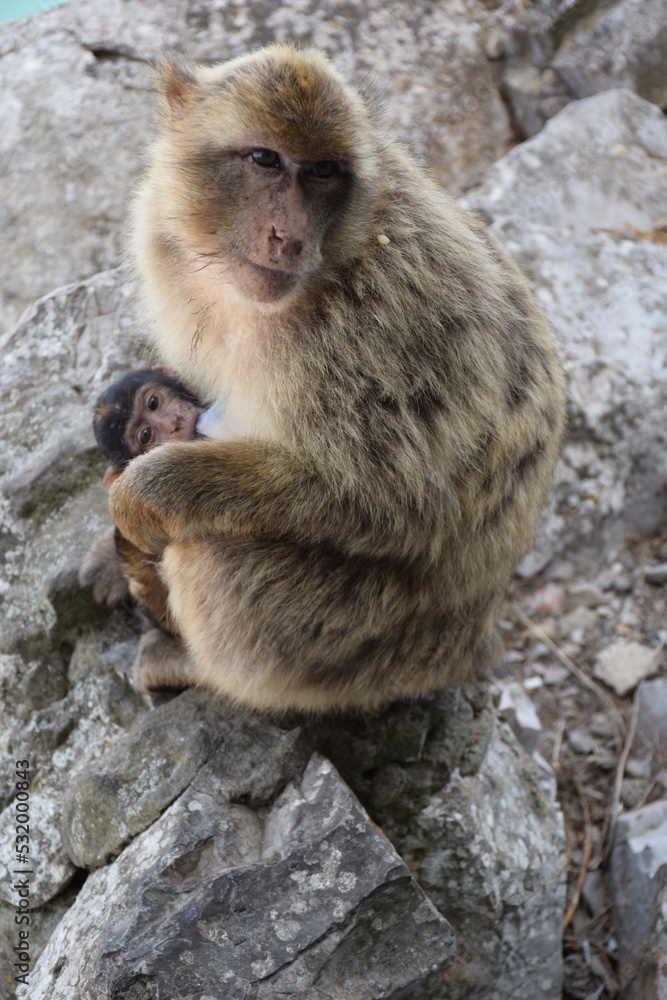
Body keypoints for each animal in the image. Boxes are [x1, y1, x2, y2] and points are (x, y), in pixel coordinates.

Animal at [82, 41, 564, 712]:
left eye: (324, 173)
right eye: (265, 159)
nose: (289, 236)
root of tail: (472, 641)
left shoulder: (383, 322)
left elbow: (383, 504)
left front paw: (142, 496)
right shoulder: (169, 244)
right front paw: (110, 547)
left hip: (358, 644)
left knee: (213, 558)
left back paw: (195, 666)